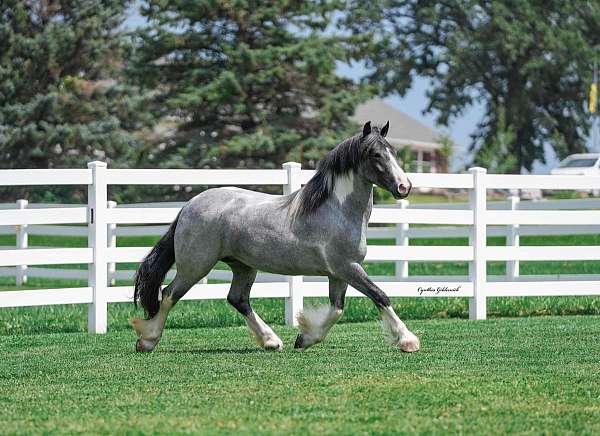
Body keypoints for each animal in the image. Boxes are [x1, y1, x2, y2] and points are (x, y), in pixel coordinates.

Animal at [134, 121, 420, 352]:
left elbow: (337, 309)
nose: (404, 187)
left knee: (237, 299)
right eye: (375, 154)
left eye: (393, 152)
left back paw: (271, 341)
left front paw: (304, 338)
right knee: (169, 294)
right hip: (195, 266)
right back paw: (147, 341)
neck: (337, 211)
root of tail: (189, 205)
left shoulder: (339, 273)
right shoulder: (347, 268)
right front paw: (408, 341)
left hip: (243, 266)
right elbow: (380, 296)